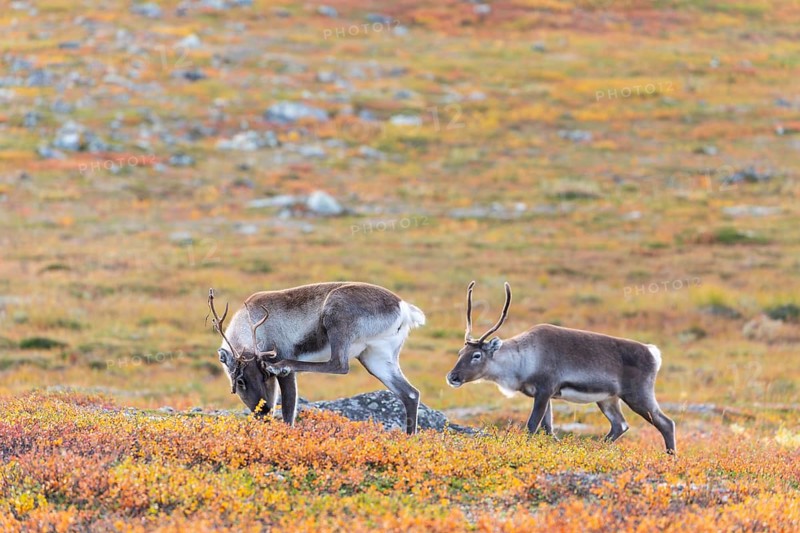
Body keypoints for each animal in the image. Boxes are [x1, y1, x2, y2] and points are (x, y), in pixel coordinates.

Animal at [207, 282, 426, 434]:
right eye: (241, 380)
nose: (264, 412)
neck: (251, 322)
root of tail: (405, 308)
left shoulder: (283, 364)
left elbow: (289, 410)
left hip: (336, 316)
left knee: (339, 364)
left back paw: (283, 365)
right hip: (376, 358)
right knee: (410, 393)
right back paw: (410, 438)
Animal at [446, 281, 676, 454]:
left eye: (476, 355)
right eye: (460, 353)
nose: (452, 377)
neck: (522, 360)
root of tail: (653, 352)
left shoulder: (544, 389)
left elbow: (532, 426)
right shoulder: (544, 394)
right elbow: (547, 429)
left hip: (638, 394)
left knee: (666, 423)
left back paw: (671, 457)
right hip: (608, 399)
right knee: (620, 425)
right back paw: (596, 449)